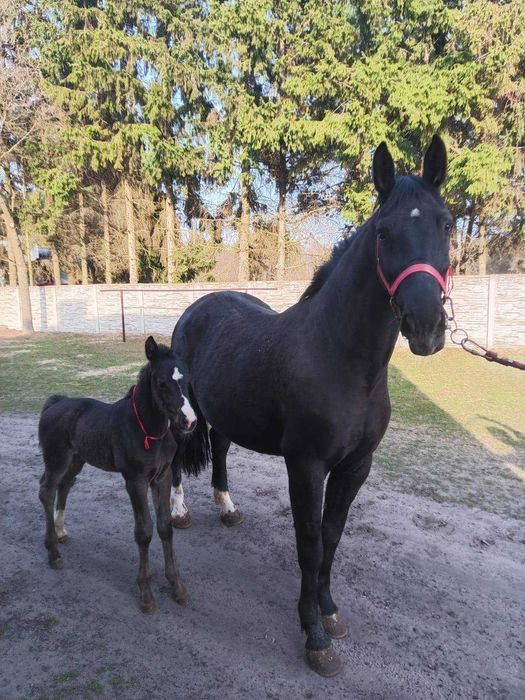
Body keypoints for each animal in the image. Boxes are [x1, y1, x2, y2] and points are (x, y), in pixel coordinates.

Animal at [38, 336, 197, 613]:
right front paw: (145, 594)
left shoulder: (162, 477)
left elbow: (165, 526)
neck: (148, 431)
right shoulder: (135, 480)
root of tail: (55, 402)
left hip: (76, 459)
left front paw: (177, 587)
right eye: (161, 383)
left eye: (186, 380)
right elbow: (144, 531)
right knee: (47, 490)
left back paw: (61, 532)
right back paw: (53, 553)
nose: (189, 421)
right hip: (57, 459)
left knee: (64, 486)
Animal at [170, 136, 452, 676]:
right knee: (174, 459)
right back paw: (178, 513)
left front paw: (329, 611)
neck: (340, 360)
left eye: (446, 223)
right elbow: (309, 543)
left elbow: (332, 537)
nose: (426, 325)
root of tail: (197, 307)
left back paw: (227, 507)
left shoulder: (355, 467)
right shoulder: (306, 466)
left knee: (220, 449)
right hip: (182, 407)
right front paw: (314, 636)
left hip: (223, 413)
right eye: (384, 232)